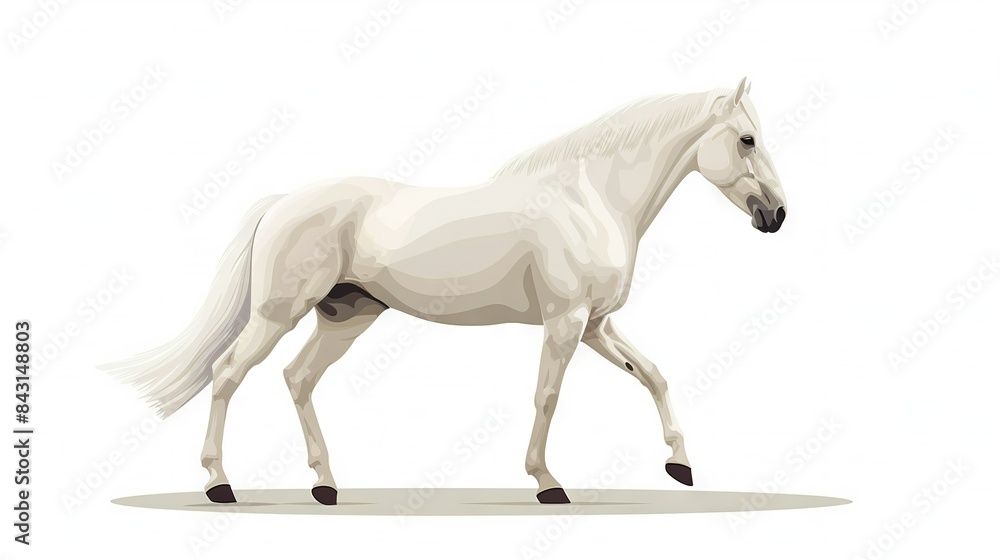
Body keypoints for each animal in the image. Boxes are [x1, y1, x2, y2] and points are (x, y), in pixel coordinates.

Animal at [103, 77, 787, 506]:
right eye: (747, 139)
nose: (776, 216)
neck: (589, 198)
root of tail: (283, 201)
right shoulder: (566, 322)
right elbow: (548, 397)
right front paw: (547, 483)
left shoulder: (596, 325)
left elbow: (654, 375)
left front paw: (681, 466)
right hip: (279, 313)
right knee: (227, 374)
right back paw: (220, 485)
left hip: (345, 316)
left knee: (297, 378)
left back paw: (326, 485)